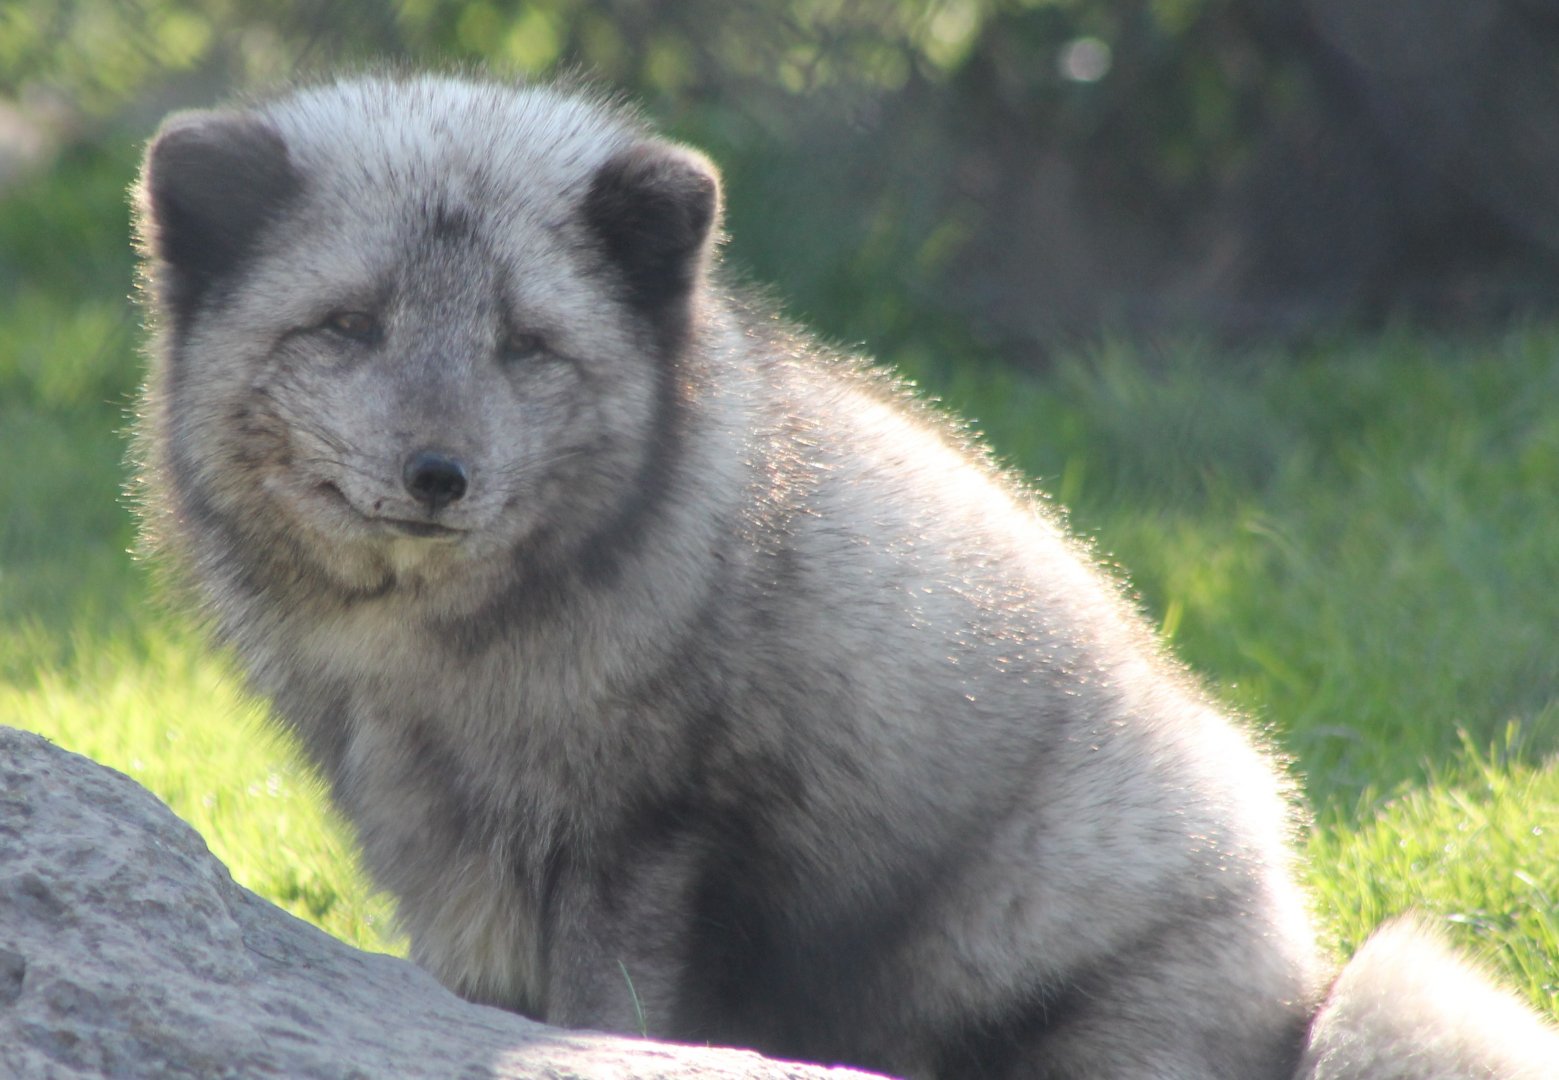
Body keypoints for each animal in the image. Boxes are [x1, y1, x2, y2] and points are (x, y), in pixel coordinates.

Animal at [131, 72, 1559, 1079]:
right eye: (347, 326)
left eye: (523, 344)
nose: (438, 474)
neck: (433, 667)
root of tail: (1299, 994)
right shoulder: (447, 880)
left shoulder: (646, 838)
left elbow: (611, 1018)